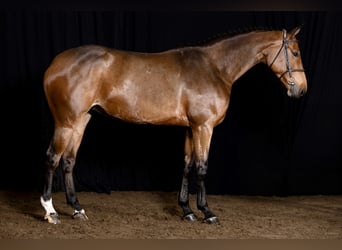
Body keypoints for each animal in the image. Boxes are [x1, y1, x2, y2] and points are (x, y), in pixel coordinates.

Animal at [40, 27, 308, 225]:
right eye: (295, 52)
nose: (302, 90)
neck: (214, 67)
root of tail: (54, 64)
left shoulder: (191, 128)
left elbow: (187, 165)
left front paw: (187, 211)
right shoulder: (204, 127)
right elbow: (201, 167)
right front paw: (207, 212)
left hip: (81, 120)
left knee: (68, 160)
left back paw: (77, 209)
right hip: (66, 121)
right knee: (53, 158)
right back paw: (50, 211)